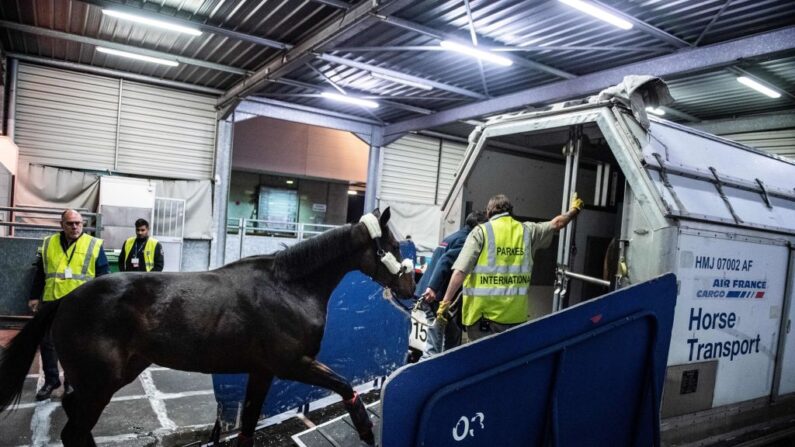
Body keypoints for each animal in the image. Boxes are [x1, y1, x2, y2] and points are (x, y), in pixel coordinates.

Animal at [0, 208, 414, 446]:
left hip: (106, 378)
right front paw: (365, 428)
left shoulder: (262, 371)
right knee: (74, 430)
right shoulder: (293, 364)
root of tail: (65, 300)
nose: (411, 285)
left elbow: (248, 425)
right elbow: (344, 384)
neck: (289, 287)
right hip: (100, 381)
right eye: (393, 245)